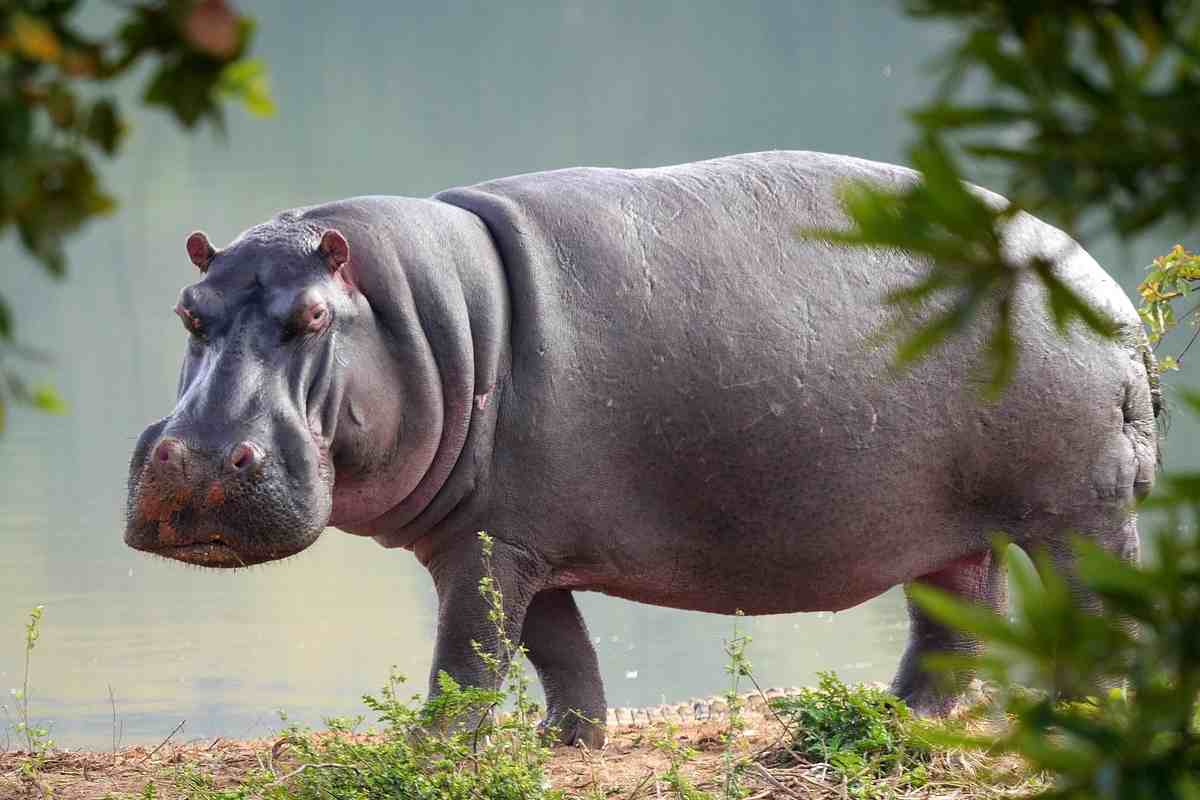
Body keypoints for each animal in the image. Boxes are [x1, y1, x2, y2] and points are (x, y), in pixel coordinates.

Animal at [125, 151, 1160, 747]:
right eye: (186, 310)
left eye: (310, 317)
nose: (199, 461)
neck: (423, 317)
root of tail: (1108, 294)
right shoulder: (508, 538)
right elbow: (558, 652)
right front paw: (565, 745)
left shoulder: (489, 550)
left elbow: (467, 660)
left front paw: (429, 754)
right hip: (952, 532)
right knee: (954, 627)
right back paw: (893, 720)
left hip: (1080, 512)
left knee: (1099, 609)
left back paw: (1085, 714)